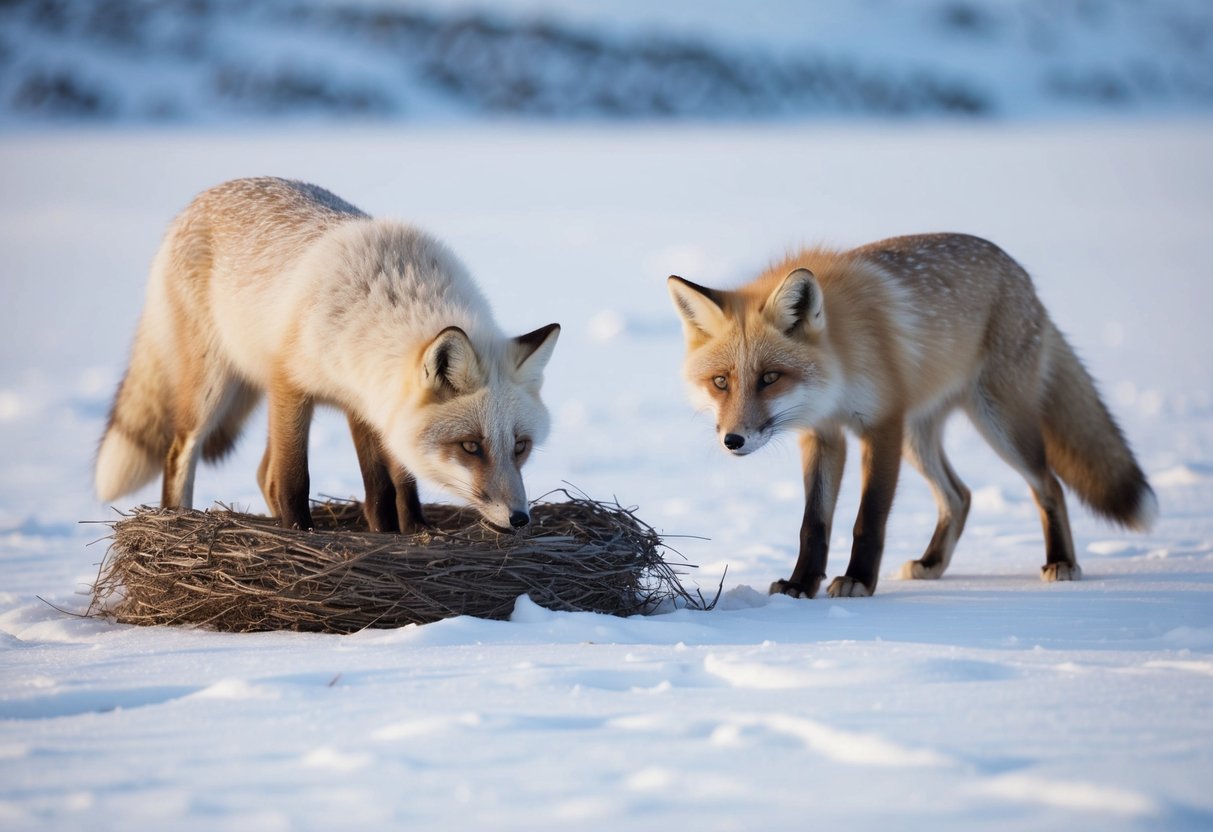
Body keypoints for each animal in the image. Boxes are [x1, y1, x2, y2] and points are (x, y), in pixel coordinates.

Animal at [95, 177, 560, 532]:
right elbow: (294, 480)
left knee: (262, 473)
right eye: (470, 447)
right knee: (185, 455)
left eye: (520, 446)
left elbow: (389, 486)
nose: (520, 518)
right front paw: (300, 532)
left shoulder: (368, 400)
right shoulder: (291, 385)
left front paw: (406, 532)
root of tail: (199, 199)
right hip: (212, 389)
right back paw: (180, 517)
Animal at [668, 233, 1156, 598]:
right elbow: (814, 523)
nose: (733, 440)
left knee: (1048, 485)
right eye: (721, 382)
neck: (842, 360)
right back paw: (932, 562)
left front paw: (857, 581)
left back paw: (1061, 562)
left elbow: (869, 518)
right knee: (960, 496)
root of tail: (1023, 276)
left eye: (770, 377)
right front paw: (800, 585)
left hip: (998, 423)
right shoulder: (824, 435)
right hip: (919, 437)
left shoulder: (882, 425)